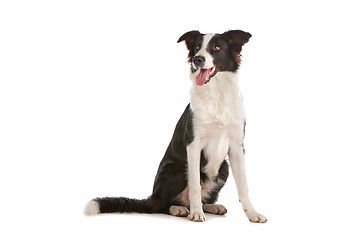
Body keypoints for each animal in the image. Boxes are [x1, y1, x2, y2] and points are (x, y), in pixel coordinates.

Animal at [83, 30, 266, 223]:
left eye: (216, 47)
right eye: (196, 47)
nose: (197, 59)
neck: (217, 95)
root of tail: (153, 197)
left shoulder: (237, 146)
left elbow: (243, 186)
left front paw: (253, 214)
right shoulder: (193, 145)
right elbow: (195, 185)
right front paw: (196, 213)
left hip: (223, 167)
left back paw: (212, 206)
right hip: (176, 168)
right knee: (161, 206)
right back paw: (179, 209)